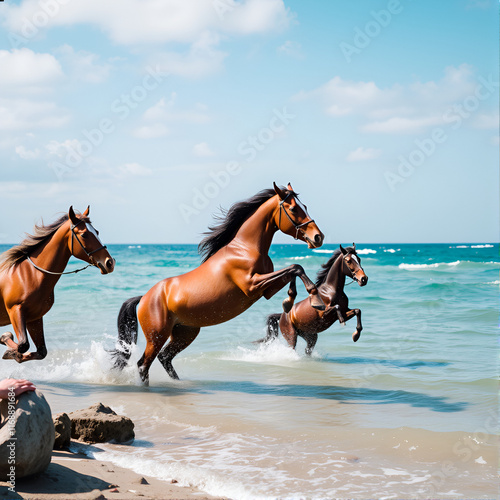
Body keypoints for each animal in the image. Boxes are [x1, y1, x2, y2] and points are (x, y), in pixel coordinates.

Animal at [0, 207, 114, 364]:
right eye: (84, 234)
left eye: (97, 231)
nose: (109, 263)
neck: (31, 275)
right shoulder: (15, 310)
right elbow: (23, 345)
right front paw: (7, 340)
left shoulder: (34, 318)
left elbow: (41, 352)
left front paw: (11, 351)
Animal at [111, 184, 326, 382]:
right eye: (293, 209)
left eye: (304, 206)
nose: (318, 237)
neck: (245, 248)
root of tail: (144, 298)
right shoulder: (252, 286)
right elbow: (295, 267)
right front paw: (316, 301)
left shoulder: (266, 290)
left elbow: (294, 270)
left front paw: (289, 302)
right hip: (156, 336)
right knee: (143, 364)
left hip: (185, 333)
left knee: (165, 358)